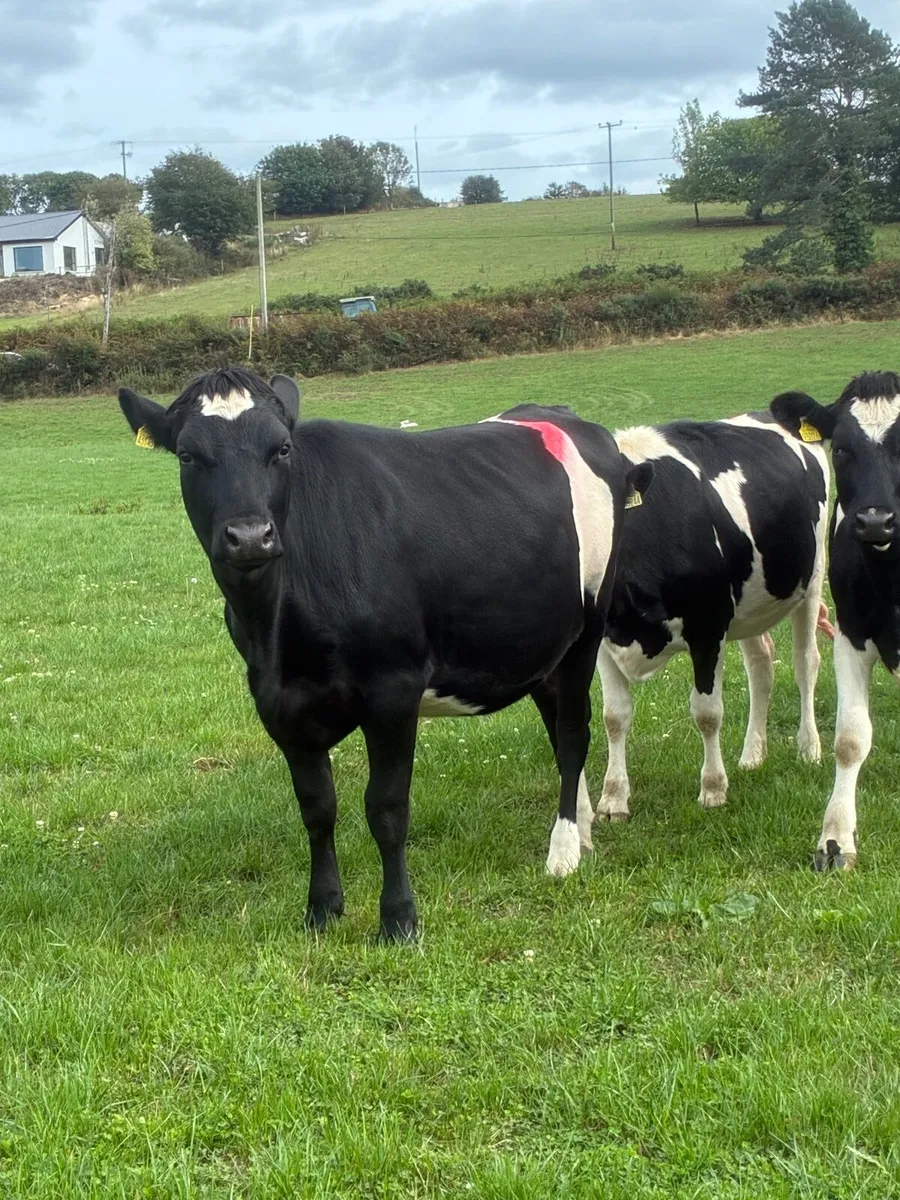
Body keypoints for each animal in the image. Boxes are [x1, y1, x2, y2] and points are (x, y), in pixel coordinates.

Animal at [117, 366, 649, 939]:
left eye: (281, 449)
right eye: (187, 455)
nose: (251, 536)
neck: (280, 629)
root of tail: (568, 418)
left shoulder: (393, 690)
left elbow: (386, 808)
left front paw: (398, 919)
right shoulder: (275, 700)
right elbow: (317, 807)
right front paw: (322, 909)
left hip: (586, 629)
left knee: (572, 735)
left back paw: (564, 849)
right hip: (541, 644)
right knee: (557, 727)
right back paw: (584, 827)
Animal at [590, 406, 830, 826]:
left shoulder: (708, 630)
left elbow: (707, 712)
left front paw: (714, 789)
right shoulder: (606, 640)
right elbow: (614, 716)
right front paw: (614, 798)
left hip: (812, 580)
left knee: (805, 664)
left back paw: (808, 748)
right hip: (752, 605)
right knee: (761, 665)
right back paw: (752, 755)